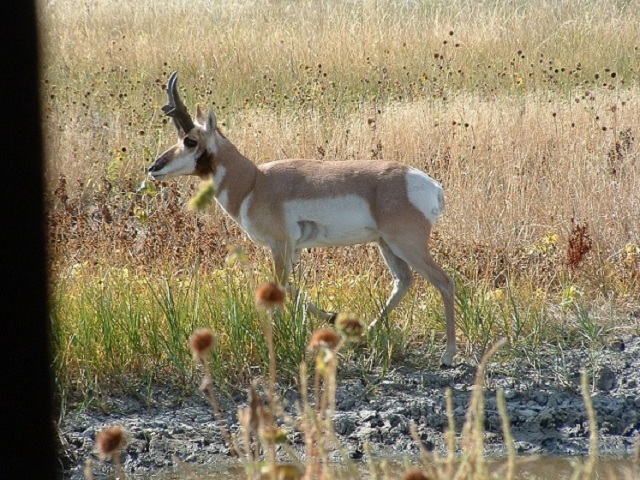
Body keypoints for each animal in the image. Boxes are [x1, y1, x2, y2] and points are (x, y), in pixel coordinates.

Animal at [150, 72, 458, 364]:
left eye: (190, 141)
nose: (153, 168)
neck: (254, 182)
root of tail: (431, 185)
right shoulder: (294, 249)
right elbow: (291, 288)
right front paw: (331, 316)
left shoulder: (280, 245)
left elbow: (278, 288)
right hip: (386, 244)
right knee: (403, 281)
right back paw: (363, 334)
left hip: (407, 244)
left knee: (444, 281)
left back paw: (448, 355)